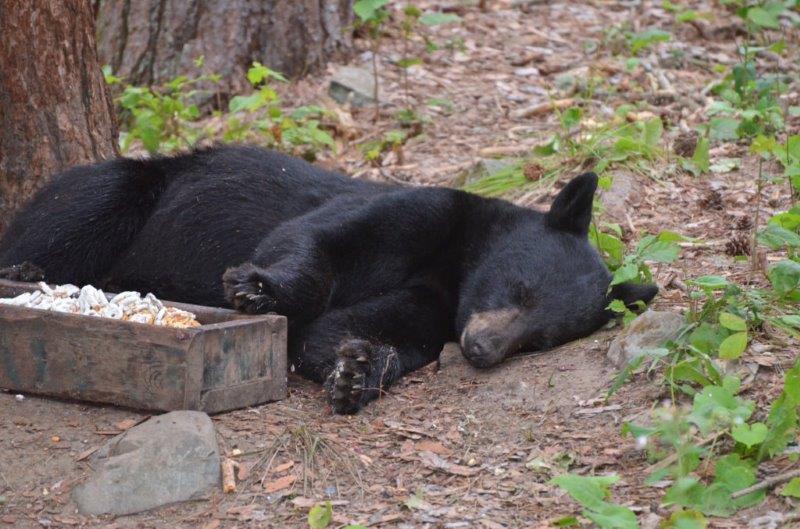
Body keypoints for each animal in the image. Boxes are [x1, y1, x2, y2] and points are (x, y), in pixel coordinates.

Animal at [0, 146, 657, 413]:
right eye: (520, 289)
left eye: (541, 341)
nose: (482, 348)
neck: (455, 265)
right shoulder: (420, 211)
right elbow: (314, 240)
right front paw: (256, 288)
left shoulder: (438, 301)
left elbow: (354, 331)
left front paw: (356, 372)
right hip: (136, 188)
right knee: (84, 206)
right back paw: (25, 269)